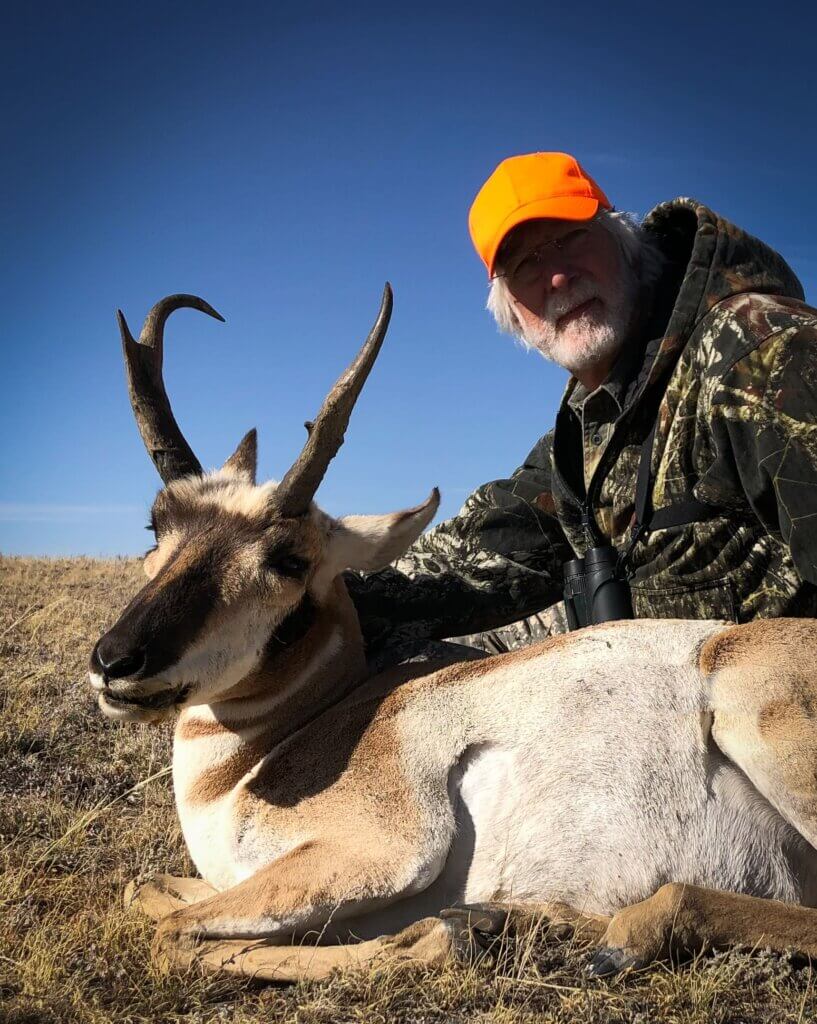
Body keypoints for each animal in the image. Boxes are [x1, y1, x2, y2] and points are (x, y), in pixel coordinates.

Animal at [90, 287, 817, 983]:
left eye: (289, 559)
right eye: (159, 525)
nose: (115, 661)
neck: (274, 745)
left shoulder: (376, 854)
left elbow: (171, 936)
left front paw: (448, 934)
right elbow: (142, 890)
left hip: (753, 714)